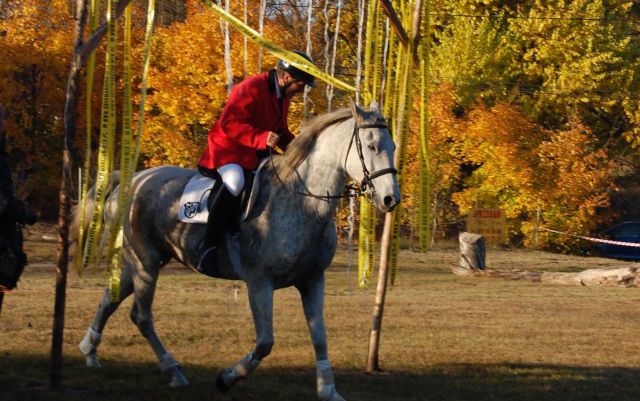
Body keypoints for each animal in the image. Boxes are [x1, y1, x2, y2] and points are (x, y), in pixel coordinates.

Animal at [74, 101, 396, 400]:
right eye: (371, 146)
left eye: (392, 146)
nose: (390, 199)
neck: (303, 201)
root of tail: (131, 180)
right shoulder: (259, 283)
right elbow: (265, 343)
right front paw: (226, 378)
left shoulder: (312, 281)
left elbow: (320, 338)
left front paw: (328, 390)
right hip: (146, 262)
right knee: (140, 315)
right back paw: (173, 370)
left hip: (146, 261)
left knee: (111, 297)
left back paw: (90, 350)